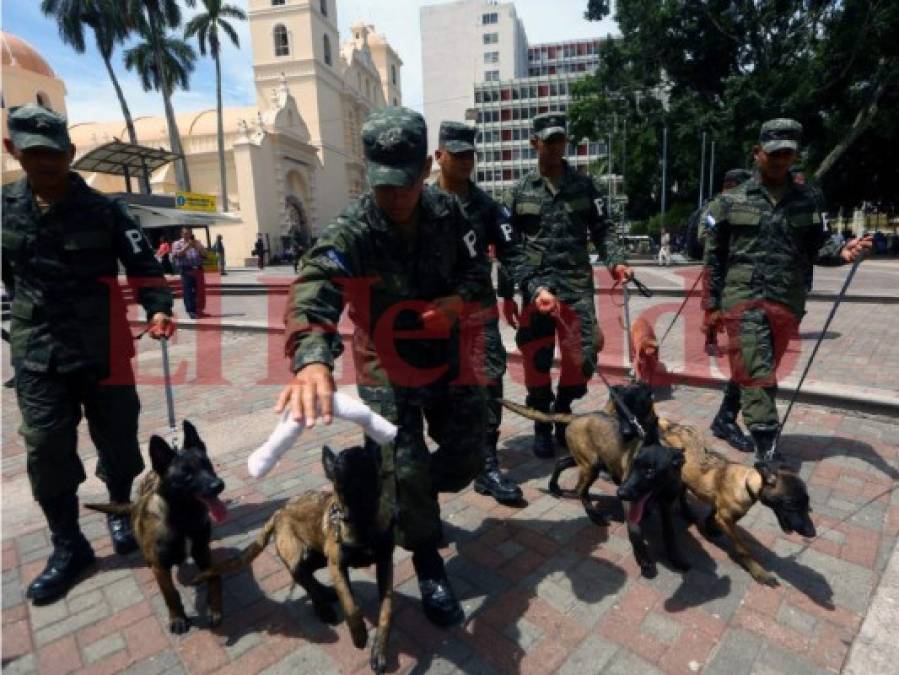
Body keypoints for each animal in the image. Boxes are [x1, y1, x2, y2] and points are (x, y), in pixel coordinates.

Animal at [87, 420, 227, 636]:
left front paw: (215, 608)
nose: (218, 485)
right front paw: (178, 618)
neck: (183, 517)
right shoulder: (160, 567)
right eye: (187, 474)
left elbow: (214, 579)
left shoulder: (203, 552)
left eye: (208, 465)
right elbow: (171, 594)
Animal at [193, 446, 394, 672]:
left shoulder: (385, 565)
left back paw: (325, 594)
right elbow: (350, 604)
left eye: (367, 454)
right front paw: (358, 634)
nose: (352, 452)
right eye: (339, 461)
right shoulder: (337, 565)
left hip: (318, 555)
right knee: (302, 578)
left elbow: (386, 611)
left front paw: (379, 651)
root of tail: (278, 512)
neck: (362, 517)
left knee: (308, 576)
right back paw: (323, 608)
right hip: (297, 555)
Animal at [620, 440, 688, 580]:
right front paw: (643, 559)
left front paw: (675, 556)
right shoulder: (628, 504)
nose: (620, 493)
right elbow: (635, 531)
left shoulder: (666, 505)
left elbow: (669, 531)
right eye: (633, 466)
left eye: (650, 471)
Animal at [656, 418, 820, 588]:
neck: (745, 482)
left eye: (808, 505)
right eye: (790, 503)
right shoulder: (726, 520)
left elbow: (712, 512)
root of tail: (673, 426)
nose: (812, 533)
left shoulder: (723, 512)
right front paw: (759, 573)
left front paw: (710, 527)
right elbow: (743, 549)